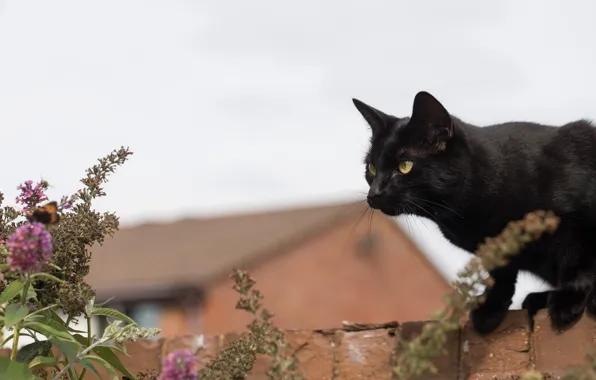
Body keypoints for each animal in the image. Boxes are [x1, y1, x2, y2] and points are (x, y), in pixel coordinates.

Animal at [354, 91, 596, 332]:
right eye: (371, 168)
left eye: (405, 166)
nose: (374, 193)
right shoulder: (494, 248)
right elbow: (500, 274)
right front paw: (490, 308)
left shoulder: (582, 222)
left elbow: (580, 263)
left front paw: (568, 299)